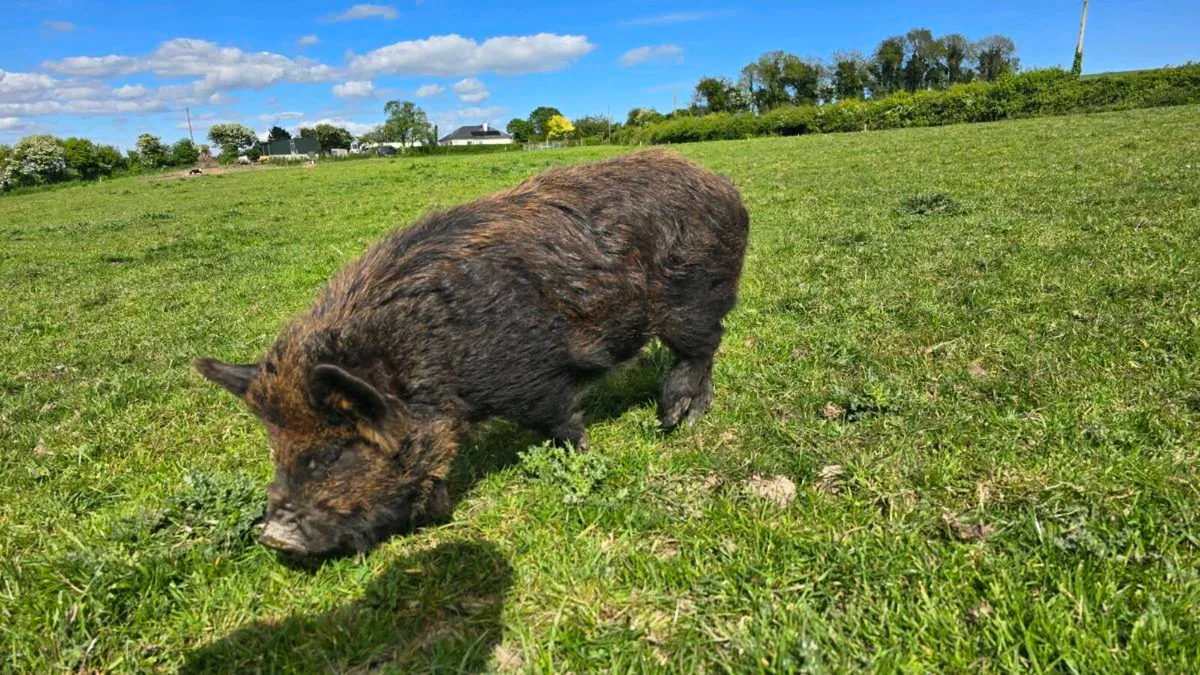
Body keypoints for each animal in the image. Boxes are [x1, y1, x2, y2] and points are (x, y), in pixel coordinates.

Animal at [195, 148, 749, 557]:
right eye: (276, 447)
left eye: (335, 450)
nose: (274, 538)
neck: (420, 360)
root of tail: (725, 185)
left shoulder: (532, 377)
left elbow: (561, 421)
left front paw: (579, 457)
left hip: (694, 300)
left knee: (702, 349)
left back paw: (675, 421)